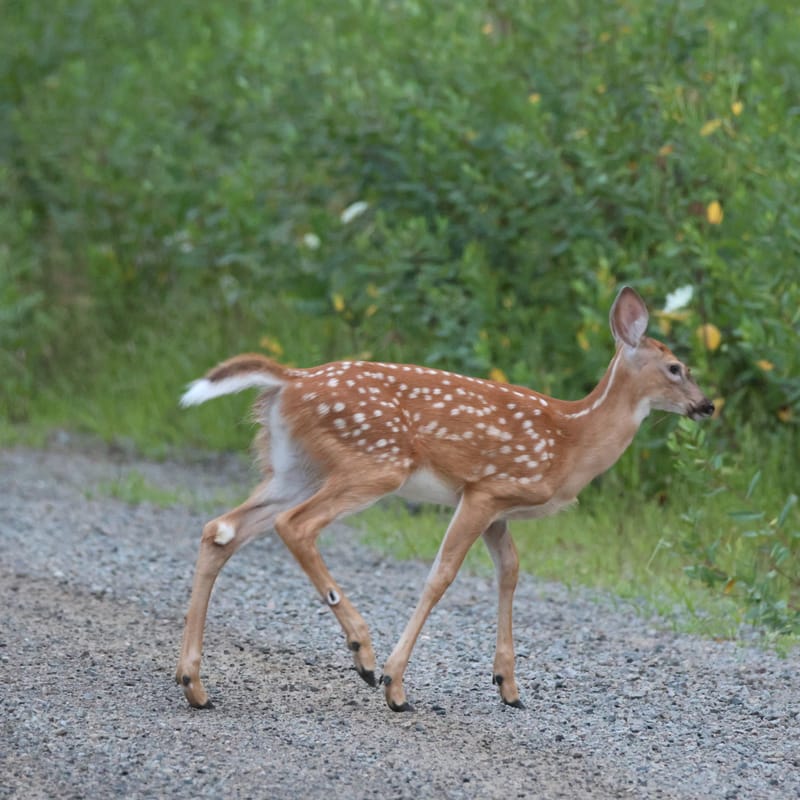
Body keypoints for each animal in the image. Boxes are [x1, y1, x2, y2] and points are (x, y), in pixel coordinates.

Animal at [175, 286, 714, 712]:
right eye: (675, 367)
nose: (707, 405)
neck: (571, 441)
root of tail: (290, 379)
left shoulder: (499, 507)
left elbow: (510, 572)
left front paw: (508, 686)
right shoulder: (484, 489)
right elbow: (443, 574)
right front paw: (395, 686)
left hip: (295, 468)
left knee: (221, 529)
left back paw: (194, 684)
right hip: (374, 463)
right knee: (295, 525)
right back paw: (363, 653)